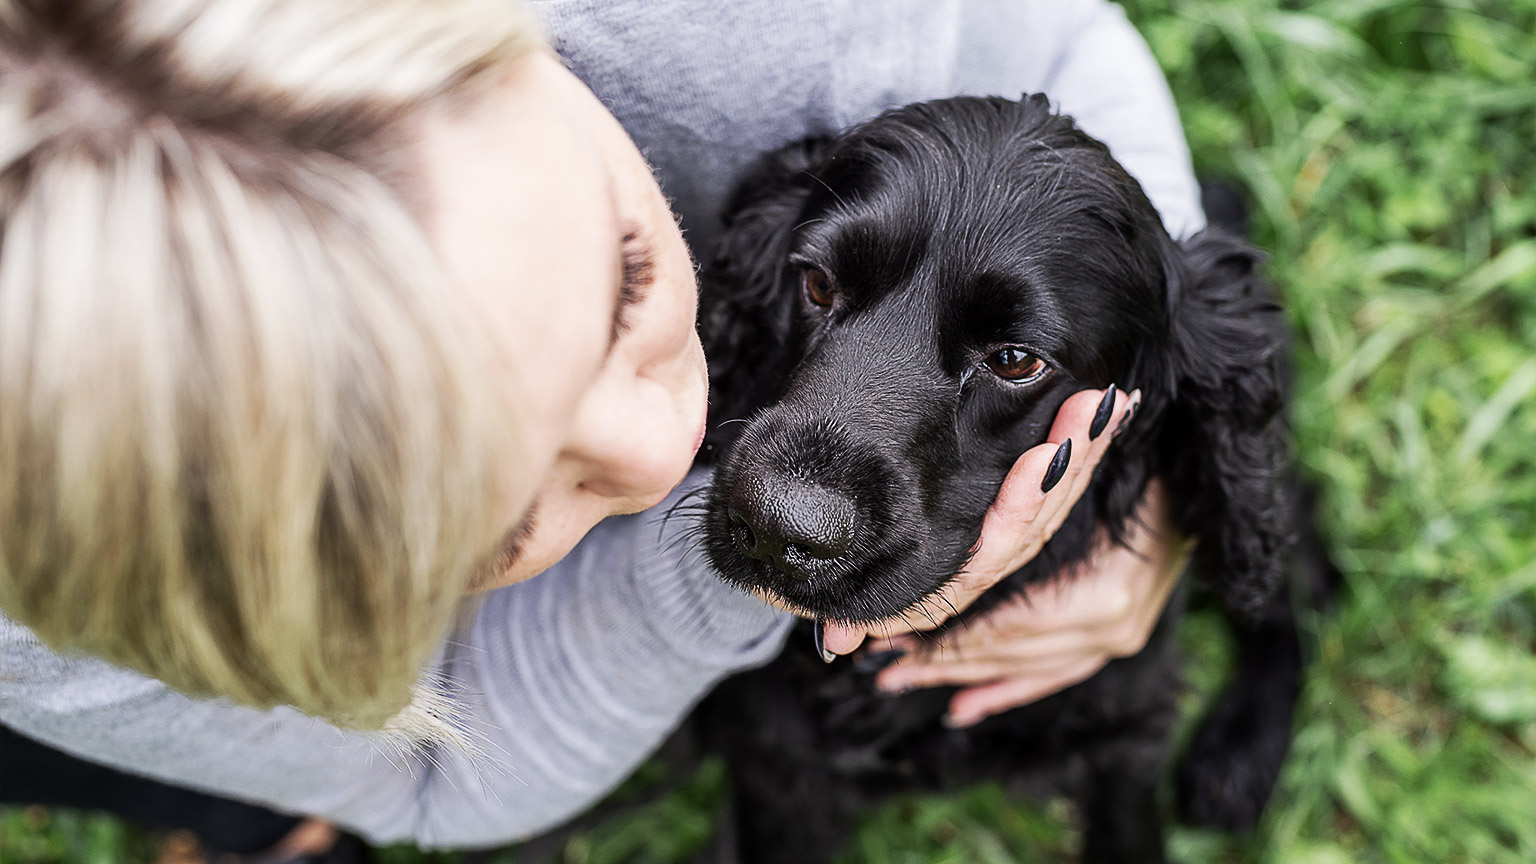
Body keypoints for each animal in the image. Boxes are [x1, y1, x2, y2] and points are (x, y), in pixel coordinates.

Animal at [685, 92, 1333, 860]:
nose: (775, 529)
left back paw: (1239, 753)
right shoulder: (781, 768)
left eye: (1016, 360)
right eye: (815, 283)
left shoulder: (1125, 730)